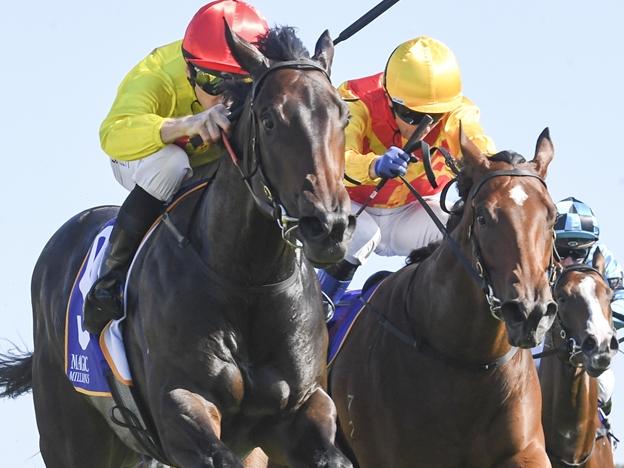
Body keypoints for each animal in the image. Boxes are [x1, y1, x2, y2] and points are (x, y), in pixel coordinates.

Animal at [0, 26, 354, 468]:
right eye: (270, 119)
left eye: (343, 116)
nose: (328, 227)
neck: (248, 281)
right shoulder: (180, 408)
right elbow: (121, 126)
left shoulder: (305, 406)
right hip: (72, 435)